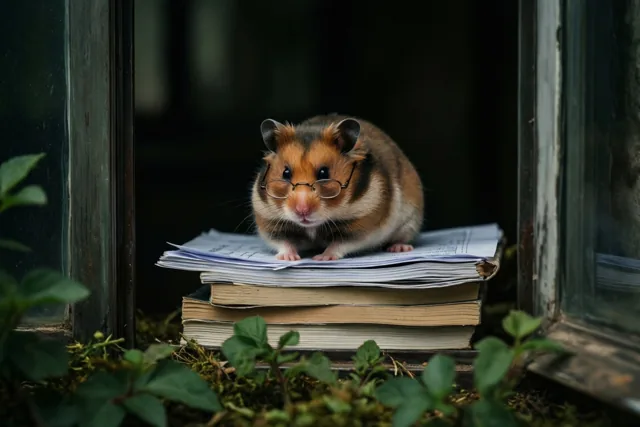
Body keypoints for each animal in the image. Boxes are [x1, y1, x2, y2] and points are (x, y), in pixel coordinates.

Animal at [250, 114, 424, 261]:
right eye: (285, 173)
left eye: (324, 173)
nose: (302, 211)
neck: (313, 226)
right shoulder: (269, 220)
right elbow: (283, 242)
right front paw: (288, 258)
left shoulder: (363, 224)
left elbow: (339, 244)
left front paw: (321, 258)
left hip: (410, 220)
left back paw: (399, 248)